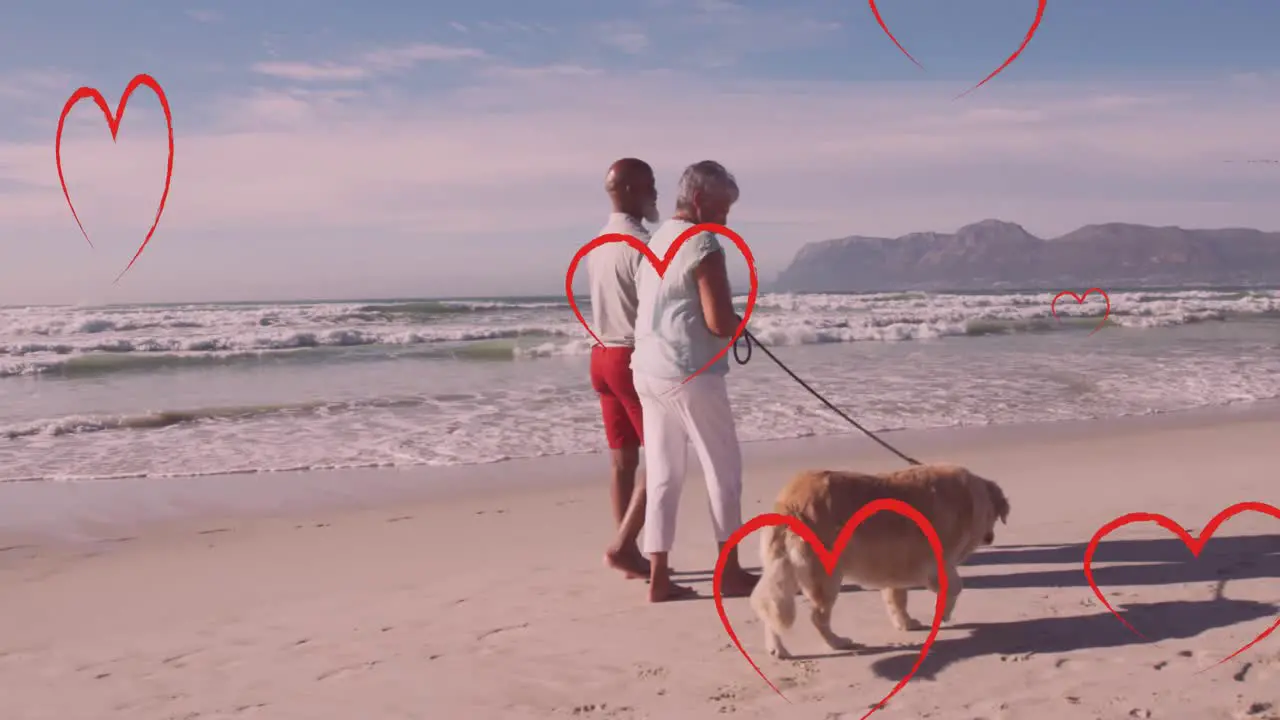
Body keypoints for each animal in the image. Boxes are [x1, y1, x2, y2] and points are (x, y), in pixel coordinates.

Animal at [747, 461, 1008, 661]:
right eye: (994, 516)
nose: (990, 537)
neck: (966, 498)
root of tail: (789, 503)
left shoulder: (896, 567)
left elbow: (897, 599)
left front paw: (905, 622)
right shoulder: (937, 565)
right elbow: (955, 587)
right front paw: (942, 615)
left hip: (786, 570)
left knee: (773, 609)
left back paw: (777, 649)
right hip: (826, 575)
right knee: (817, 617)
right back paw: (838, 642)